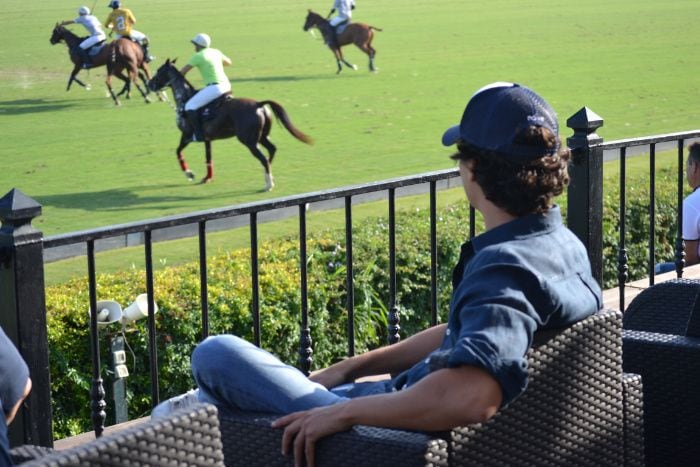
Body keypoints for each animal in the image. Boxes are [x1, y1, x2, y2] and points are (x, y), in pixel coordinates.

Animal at [147, 60, 312, 192]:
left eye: (159, 71)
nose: (149, 85)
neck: (185, 99)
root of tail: (259, 104)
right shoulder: (207, 139)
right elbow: (208, 157)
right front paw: (207, 178)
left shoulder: (186, 135)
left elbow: (178, 151)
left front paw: (189, 173)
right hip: (262, 137)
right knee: (272, 150)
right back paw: (269, 177)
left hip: (249, 141)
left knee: (264, 157)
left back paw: (268, 184)